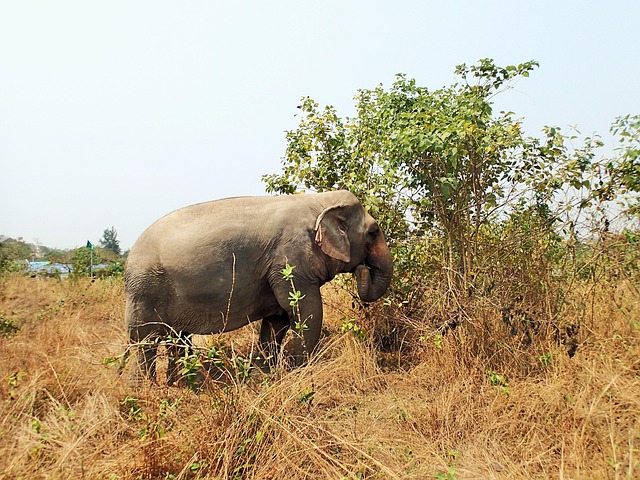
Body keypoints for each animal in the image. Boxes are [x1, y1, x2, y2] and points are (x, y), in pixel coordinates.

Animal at [124, 190, 393, 385]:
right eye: (373, 232)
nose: (362, 269)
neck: (318, 201)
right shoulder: (291, 260)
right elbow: (306, 311)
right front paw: (302, 374)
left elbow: (277, 321)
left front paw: (266, 377)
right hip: (145, 291)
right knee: (145, 343)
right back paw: (146, 391)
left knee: (177, 340)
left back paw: (180, 387)